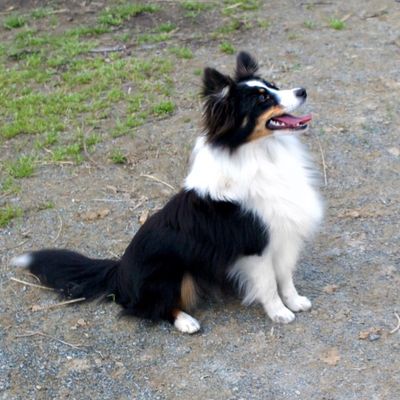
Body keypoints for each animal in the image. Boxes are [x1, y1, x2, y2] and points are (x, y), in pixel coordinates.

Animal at [10, 53, 322, 334]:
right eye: (262, 99)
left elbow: (285, 277)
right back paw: (185, 321)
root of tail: (120, 270)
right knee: (144, 308)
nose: (302, 91)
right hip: (171, 273)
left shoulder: (283, 236)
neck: (260, 153)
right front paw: (279, 313)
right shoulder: (255, 246)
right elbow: (268, 284)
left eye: (273, 85)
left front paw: (294, 302)